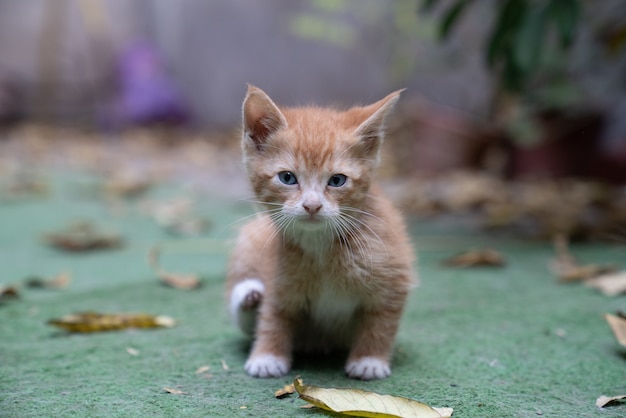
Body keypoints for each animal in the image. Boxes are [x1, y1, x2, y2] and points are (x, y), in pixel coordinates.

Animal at [225, 86, 414, 380]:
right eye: (287, 178)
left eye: (337, 180)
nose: (312, 205)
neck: (321, 245)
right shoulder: (280, 276)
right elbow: (273, 314)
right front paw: (267, 355)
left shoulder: (394, 274)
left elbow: (382, 320)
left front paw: (369, 359)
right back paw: (249, 297)